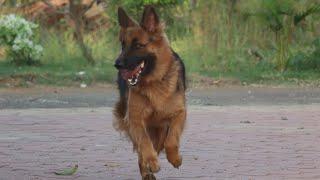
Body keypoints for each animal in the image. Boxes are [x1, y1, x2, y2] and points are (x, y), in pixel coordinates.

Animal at [113, 5, 186, 180]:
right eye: (123, 45)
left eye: (138, 45)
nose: (117, 64)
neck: (155, 82)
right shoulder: (135, 119)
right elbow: (144, 142)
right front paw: (151, 162)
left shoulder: (179, 114)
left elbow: (171, 140)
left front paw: (175, 158)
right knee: (142, 151)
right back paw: (147, 170)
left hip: (160, 131)